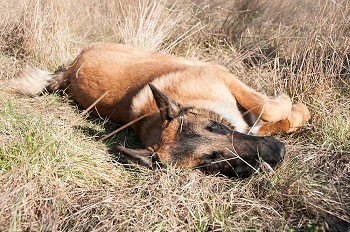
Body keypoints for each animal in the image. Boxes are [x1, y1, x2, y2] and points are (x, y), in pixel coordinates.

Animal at [6, 43, 310, 178]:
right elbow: (267, 117)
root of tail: (69, 73)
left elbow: (267, 108)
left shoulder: (227, 79)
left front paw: (293, 107)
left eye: (218, 128)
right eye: (211, 161)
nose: (279, 152)